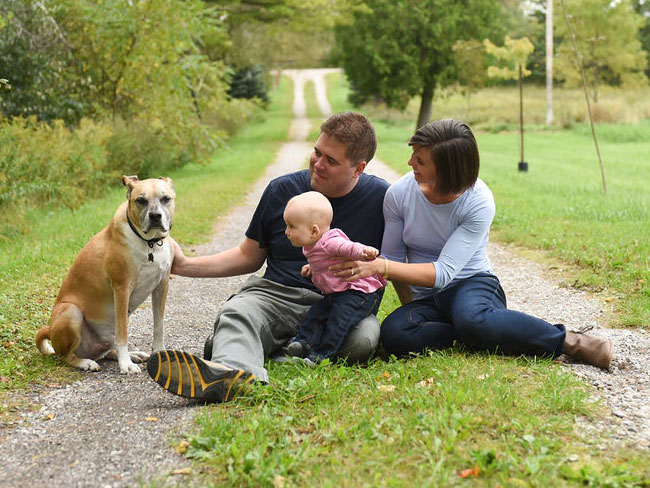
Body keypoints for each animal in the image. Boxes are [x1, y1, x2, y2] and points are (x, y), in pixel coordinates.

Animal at [35, 175, 175, 374]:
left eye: (166, 199)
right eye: (141, 200)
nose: (155, 216)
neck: (148, 243)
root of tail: (51, 331)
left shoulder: (162, 286)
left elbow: (159, 325)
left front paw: (159, 352)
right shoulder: (122, 288)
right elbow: (123, 334)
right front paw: (126, 365)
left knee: (108, 350)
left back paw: (132, 354)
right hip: (71, 312)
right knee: (65, 357)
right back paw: (86, 362)